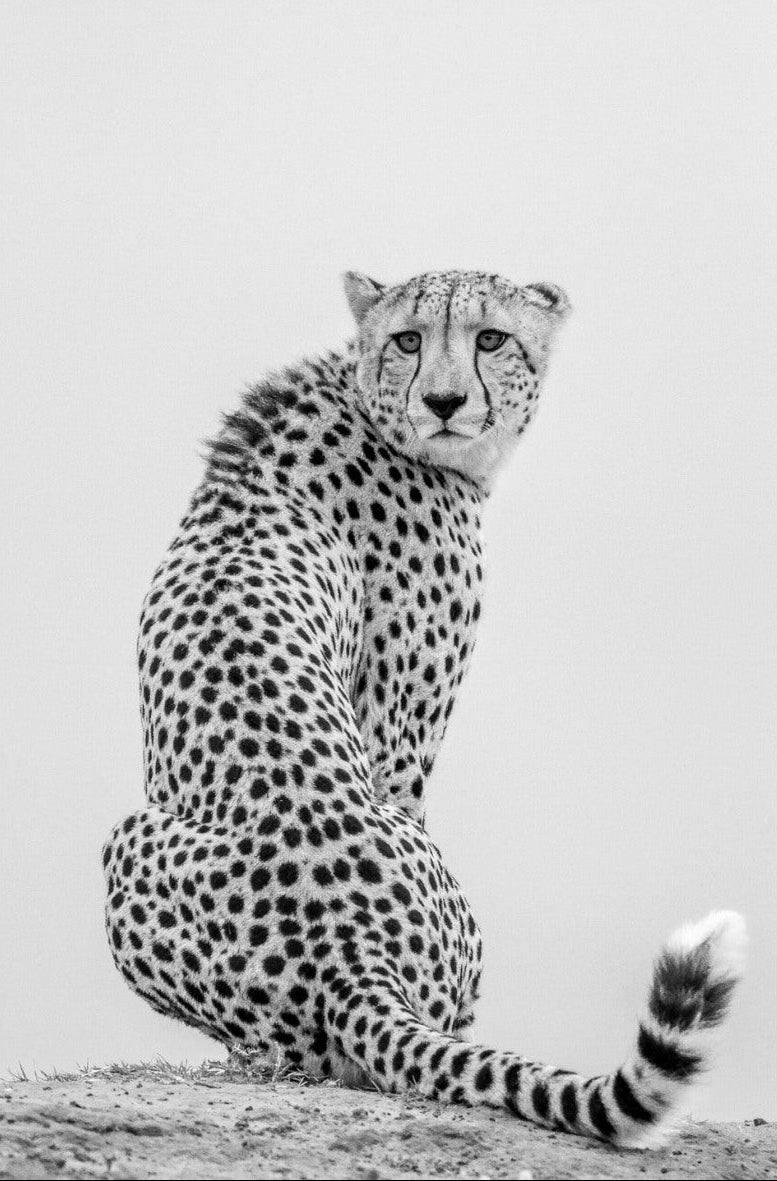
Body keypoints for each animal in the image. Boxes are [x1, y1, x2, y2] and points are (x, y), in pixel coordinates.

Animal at [102, 269, 746, 1147]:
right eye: (409, 338)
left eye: (490, 338)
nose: (444, 400)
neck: (364, 399)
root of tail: (350, 952)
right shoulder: (398, 733)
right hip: (133, 839)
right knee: (332, 1055)